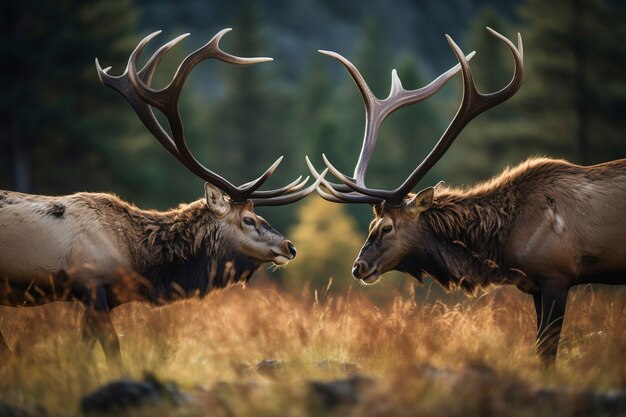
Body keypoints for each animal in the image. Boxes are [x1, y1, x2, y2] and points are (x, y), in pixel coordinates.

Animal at [0, 29, 324, 362]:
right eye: (248, 219)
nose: (290, 246)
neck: (136, 259)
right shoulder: (90, 284)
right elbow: (111, 348)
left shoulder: (96, 296)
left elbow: (86, 349)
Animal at [306, 27, 624, 362]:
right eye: (370, 225)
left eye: (387, 227)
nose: (358, 267)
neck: (504, 241)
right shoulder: (537, 285)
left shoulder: (557, 275)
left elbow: (548, 351)